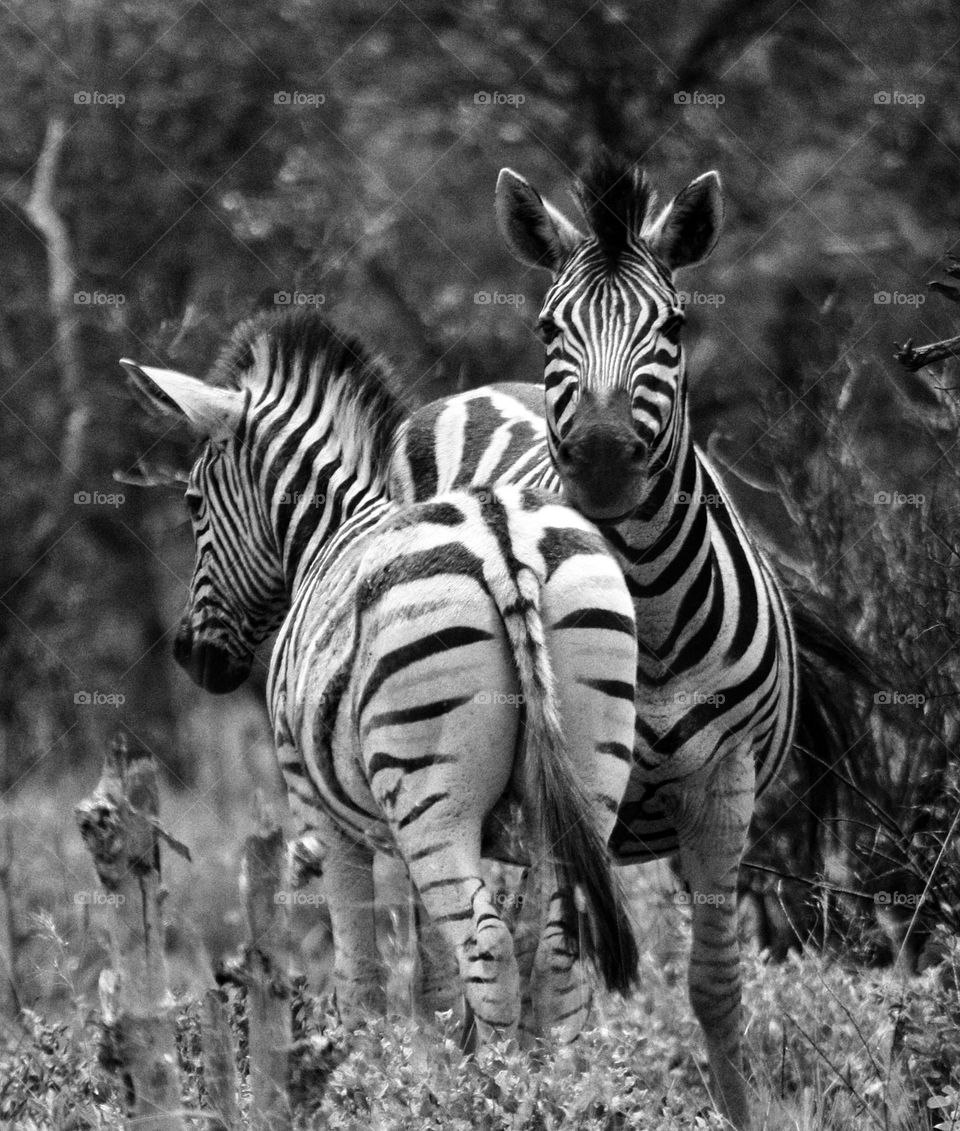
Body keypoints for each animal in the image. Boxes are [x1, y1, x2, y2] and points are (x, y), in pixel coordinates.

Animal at [121, 307, 642, 1040]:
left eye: (193, 503)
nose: (193, 659)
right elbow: (433, 979)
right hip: (588, 766)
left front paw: (365, 1063)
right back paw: (558, 1071)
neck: (330, 528)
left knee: (487, 943)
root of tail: (501, 537)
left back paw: (504, 1074)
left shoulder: (315, 805)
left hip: (432, 798)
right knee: (557, 949)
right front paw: (436, 1055)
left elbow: (360, 975)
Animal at [388, 152, 800, 1131]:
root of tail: (489, 389)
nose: (605, 455)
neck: (650, 608)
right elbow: (555, 965)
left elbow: (715, 984)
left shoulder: (724, 783)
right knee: (455, 957)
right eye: (548, 324)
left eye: (675, 325)